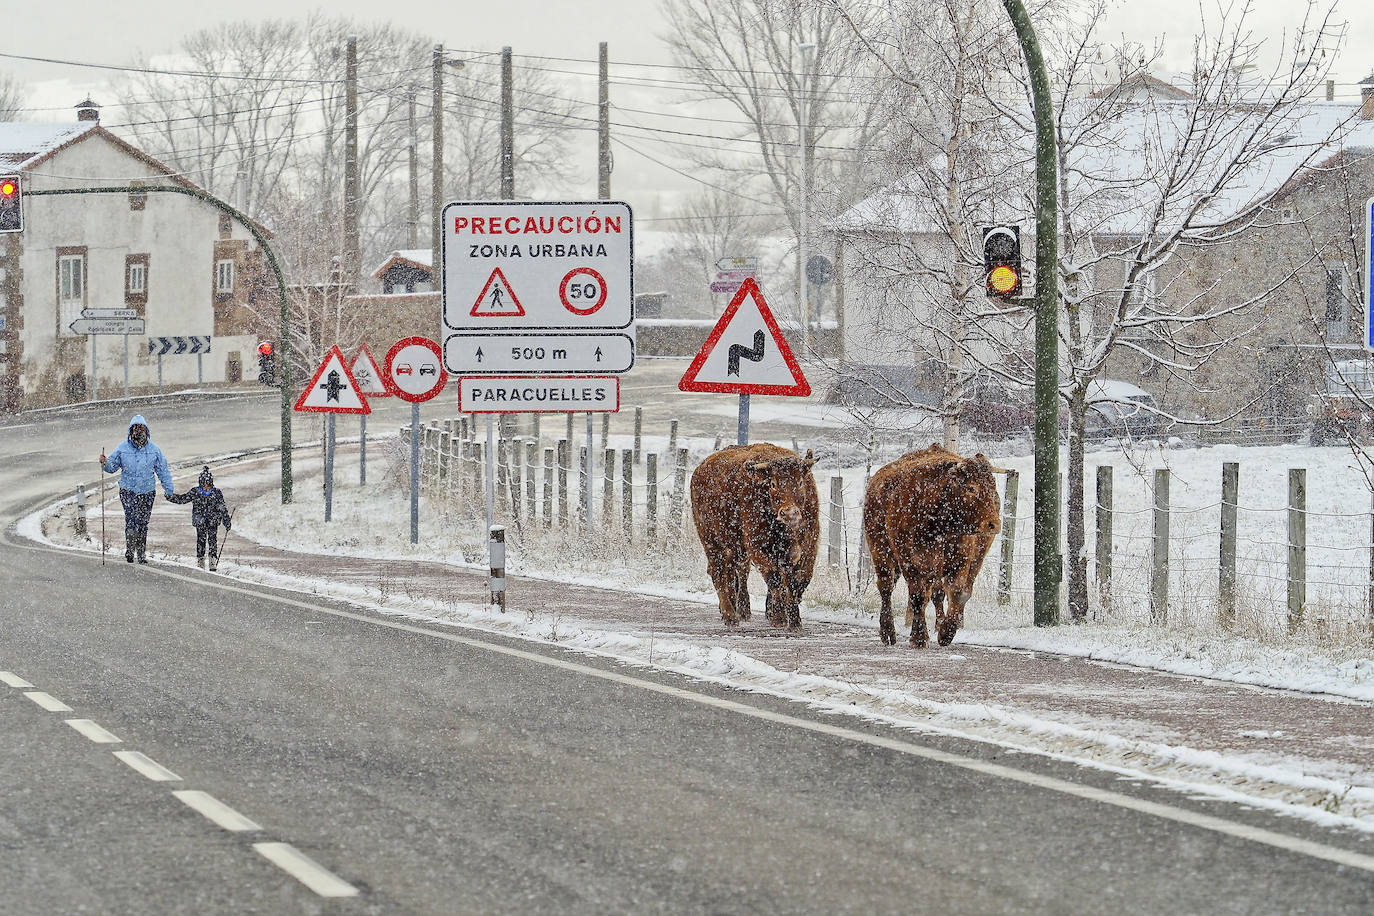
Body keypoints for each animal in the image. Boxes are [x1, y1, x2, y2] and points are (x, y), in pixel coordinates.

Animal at [692, 444, 818, 631]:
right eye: (773, 483)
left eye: (801, 482)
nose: (789, 513)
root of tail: (701, 468)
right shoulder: (759, 548)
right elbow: (775, 579)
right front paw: (779, 616)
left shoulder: (808, 547)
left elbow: (797, 581)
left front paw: (794, 619)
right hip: (711, 540)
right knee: (719, 573)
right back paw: (730, 616)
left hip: (735, 548)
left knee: (733, 574)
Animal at [862, 442, 1005, 645]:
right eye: (971, 488)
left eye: (993, 488)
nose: (993, 524)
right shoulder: (909, 560)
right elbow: (918, 596)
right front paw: (919, 637)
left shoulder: (961, 560)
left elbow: (957, 592)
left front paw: (946, 632)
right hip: (880, 551)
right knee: (886, 587)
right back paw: (888, 632)